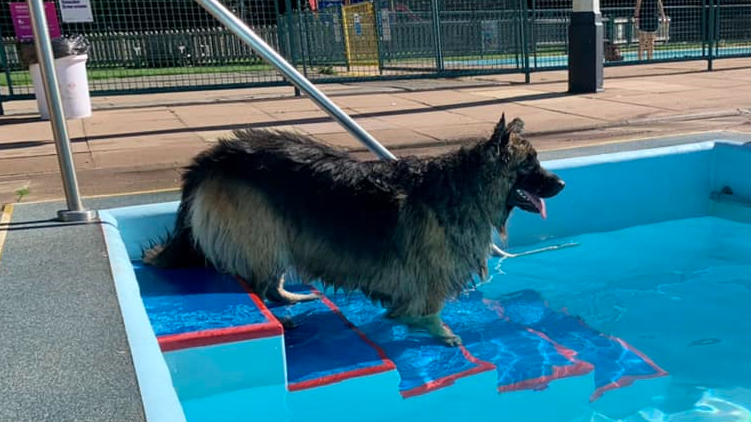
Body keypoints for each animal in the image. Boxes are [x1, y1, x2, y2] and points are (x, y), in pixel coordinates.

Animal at [142, 113, 564, 344]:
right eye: (531, 165)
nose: (561, 184)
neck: (466, 184)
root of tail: (215, 154)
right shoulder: (427, 283)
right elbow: (427, 314)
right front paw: (440, 334)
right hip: (260, 230)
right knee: (255, 281)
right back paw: (279, 316)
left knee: (271, 282)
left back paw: (290, 299)